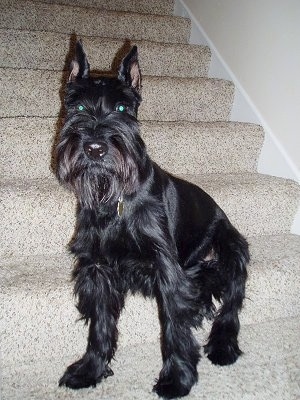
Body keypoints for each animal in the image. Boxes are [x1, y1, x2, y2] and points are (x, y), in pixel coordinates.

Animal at [56, 42, 248, 398]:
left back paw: (222, 346)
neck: (113, 200)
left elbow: (174, 328)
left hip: (232, 249)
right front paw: (90, 370)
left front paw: (176, 379)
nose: (94, 148)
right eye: (77, 106)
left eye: (122, 107)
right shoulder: (97, 268)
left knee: (230, 304)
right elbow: (100, 325)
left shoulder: (167, 268)